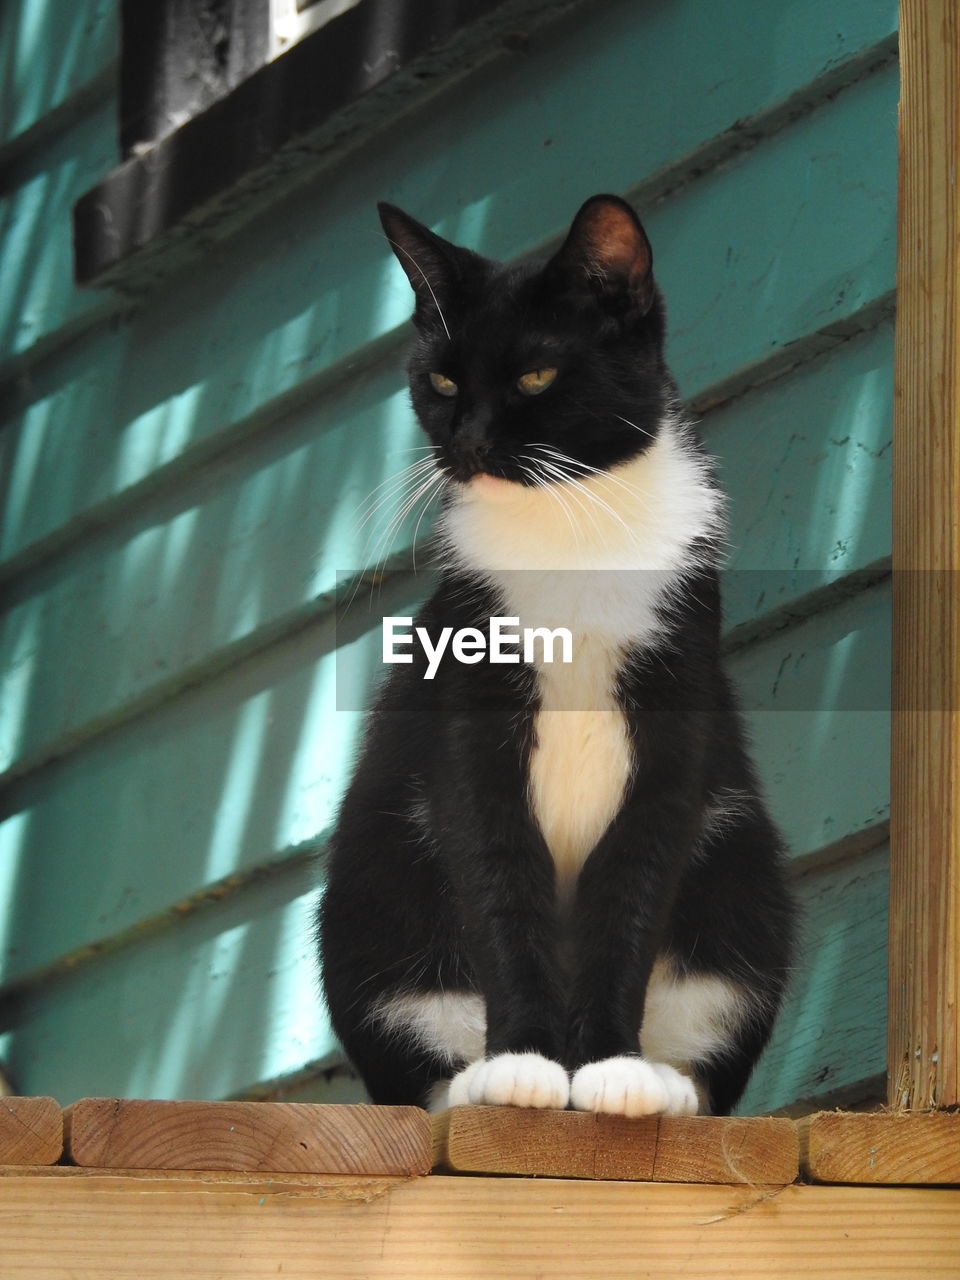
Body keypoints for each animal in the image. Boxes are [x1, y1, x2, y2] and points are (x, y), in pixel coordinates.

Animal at [321, 194, 798, 1116]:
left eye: (536, 377)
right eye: (442, 381)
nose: (467, 441)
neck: (566, 525)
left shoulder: (675, 714)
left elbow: (634, 891)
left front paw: (612, 1066)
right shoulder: (468, 718)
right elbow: (499, 880)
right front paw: (525, 1061)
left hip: (744, 872)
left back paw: (665, 1084)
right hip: (370, 892)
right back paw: (474, 1080)